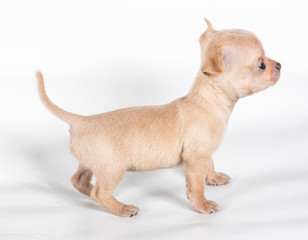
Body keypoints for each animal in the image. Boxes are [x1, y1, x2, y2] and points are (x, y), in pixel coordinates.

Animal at [36, 18, 282, 218]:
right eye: (261, 64)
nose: (279, 64)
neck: (209, 101)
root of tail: (81, 120)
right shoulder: (195, 158)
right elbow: (195, 186)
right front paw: (202, 204)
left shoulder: (204, 152)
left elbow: (210, 164)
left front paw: (214, 178)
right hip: (112, 168)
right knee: (100, 193)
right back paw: (122, 208)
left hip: (89, 162)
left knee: (78, 180)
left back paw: (89, 193)